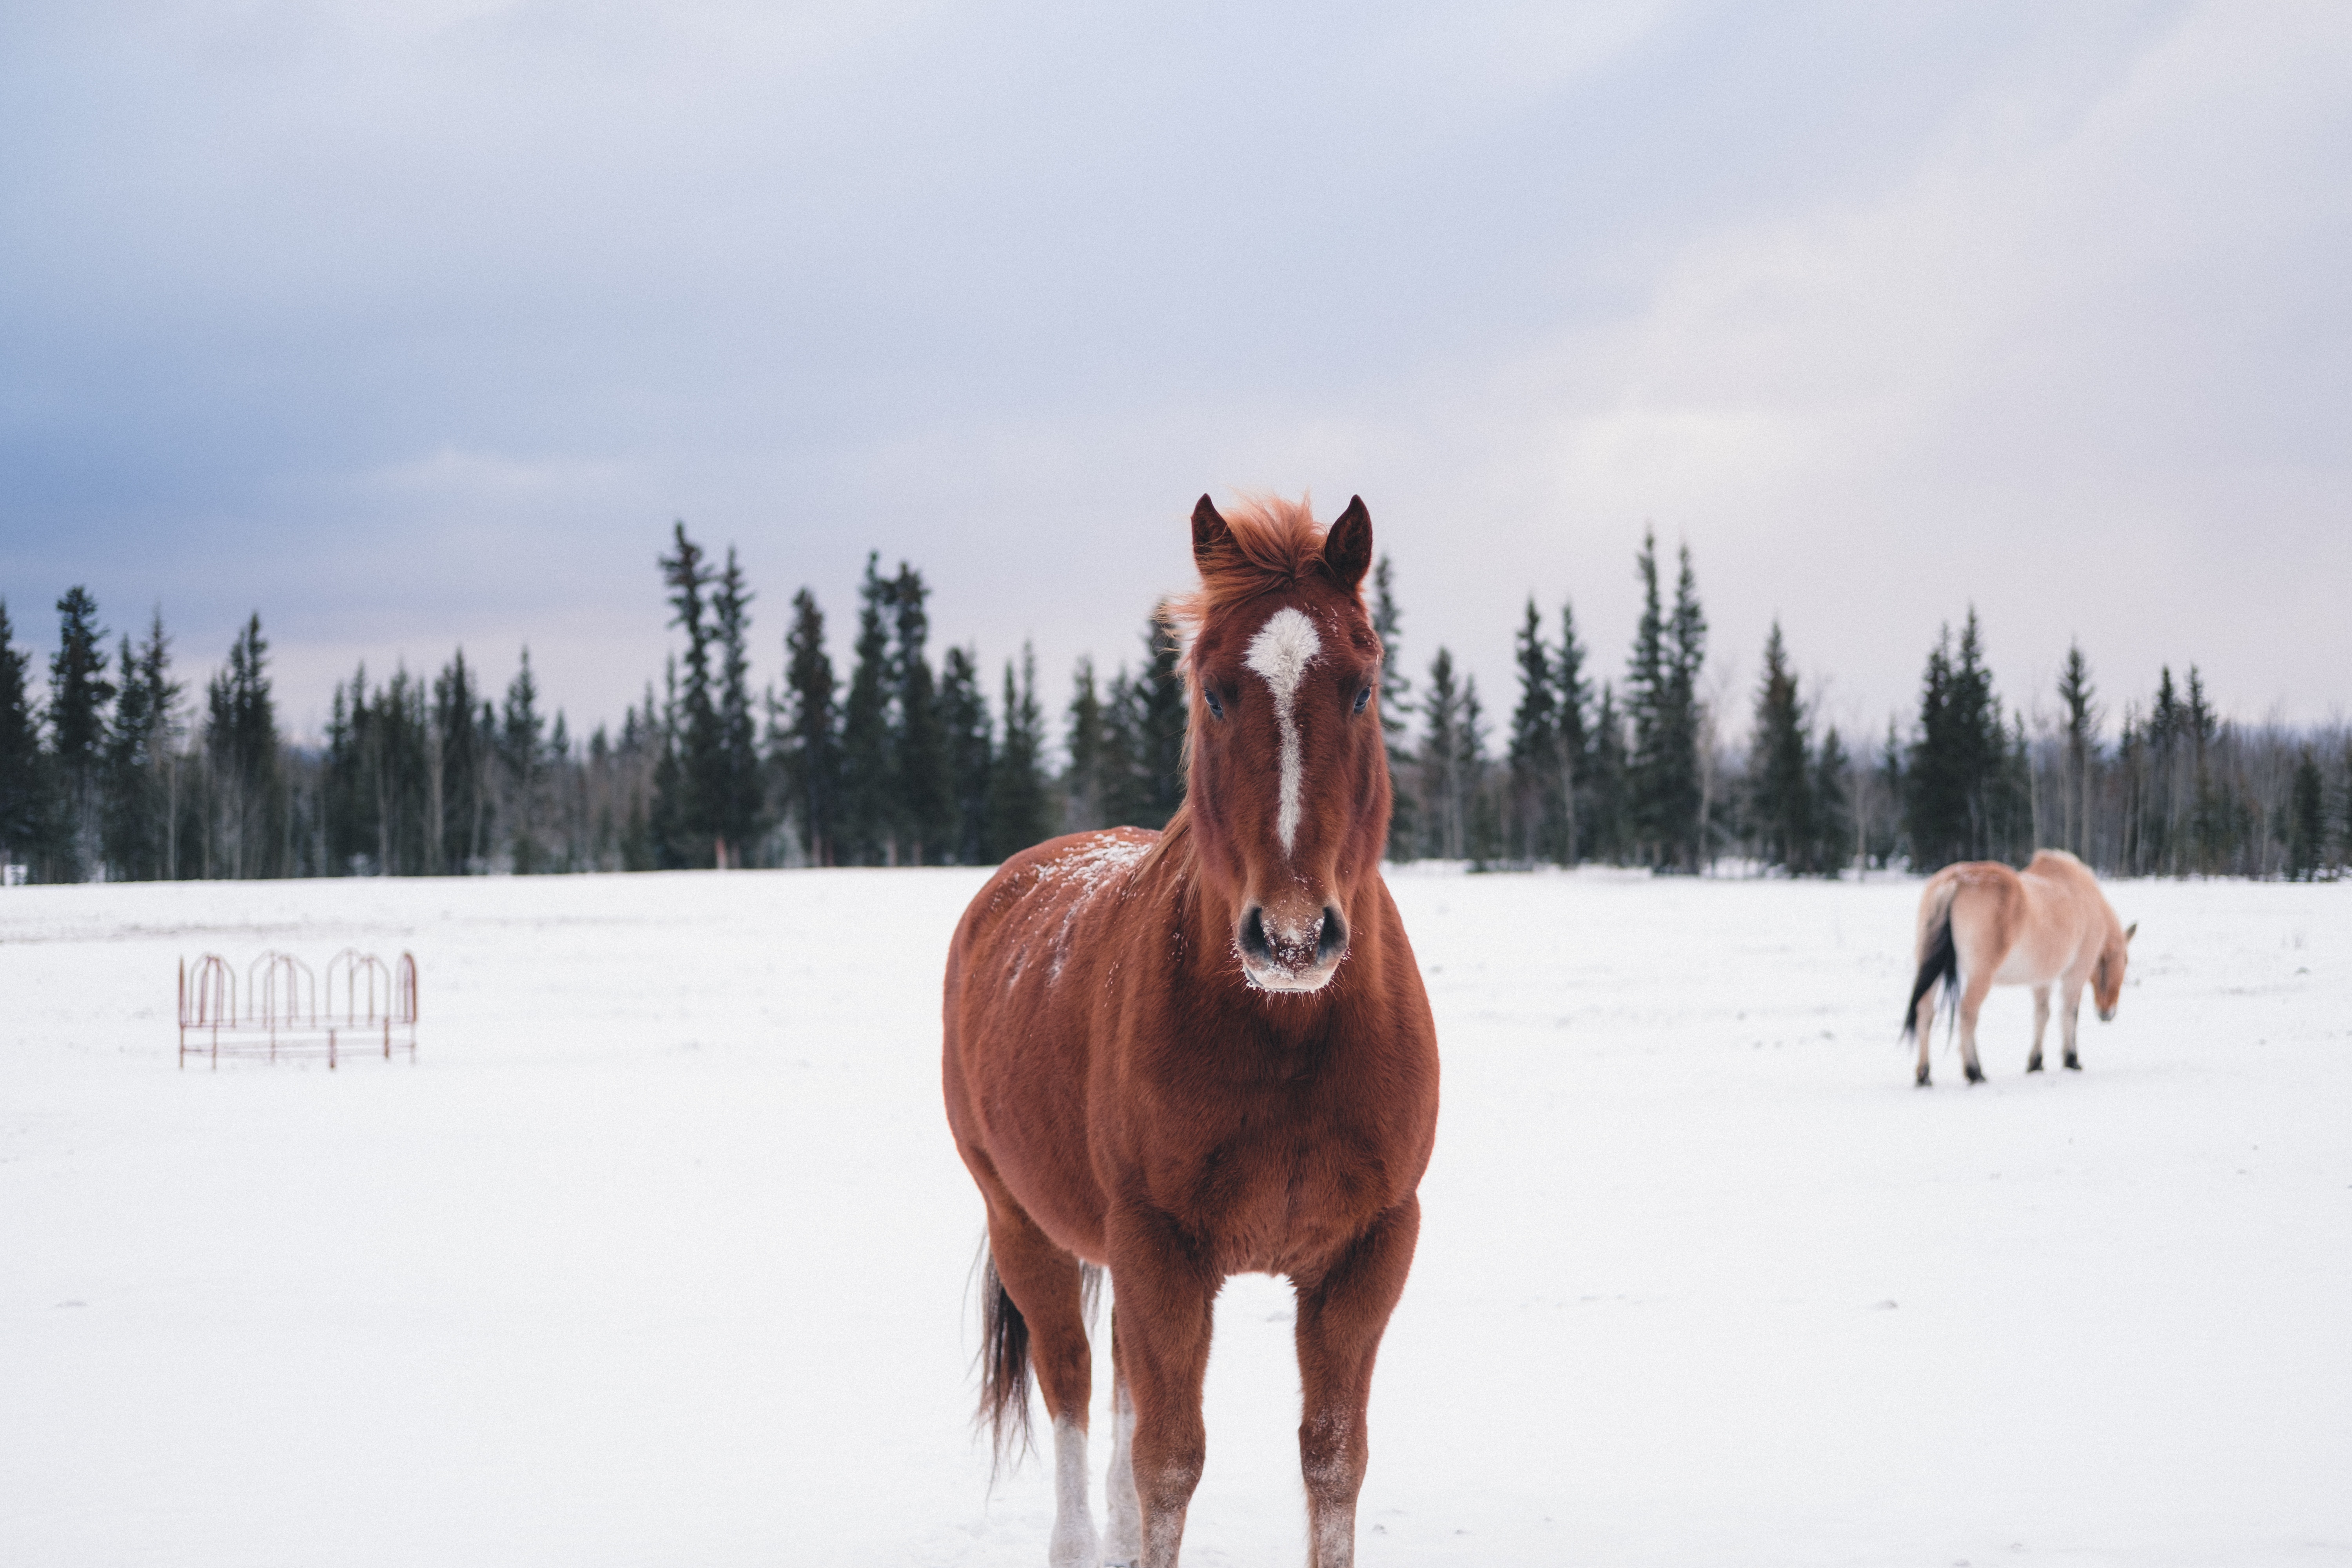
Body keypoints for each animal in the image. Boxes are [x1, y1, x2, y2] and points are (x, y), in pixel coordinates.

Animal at [941, 494, 1440, 1568]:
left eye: (1363, 688)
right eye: (1213, 691)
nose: (1291, 934)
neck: (1287, 1035)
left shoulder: (1368, 1250)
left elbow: (1332, 1461)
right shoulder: (1160, 1248)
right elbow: (1169, 1464)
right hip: (1026, 1226)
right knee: (1077, 1388)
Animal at [1901, 849, 2135, 1086]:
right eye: (2125, 960)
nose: (2108, 1014)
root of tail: (1956, 881)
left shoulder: (2042, 980)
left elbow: (2042, 1015)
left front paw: (2036, 1062)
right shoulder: (2076, 974)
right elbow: (2069, 1014)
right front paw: (2071, 1060)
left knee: (1925, 1012)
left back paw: (1924, 1075)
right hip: (1981, 976)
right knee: (1968, 1013)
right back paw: (1974, 1071)